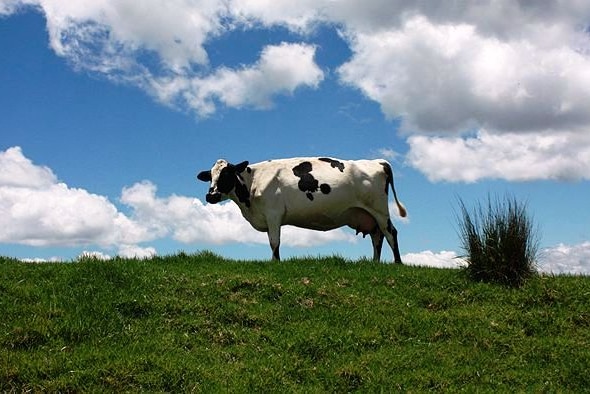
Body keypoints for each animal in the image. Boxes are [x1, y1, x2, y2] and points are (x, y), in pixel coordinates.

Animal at [197, 156, 410, 262]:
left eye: (226, 174)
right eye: (211, 176)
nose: (210, 196)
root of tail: (378, 161)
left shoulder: (273, 214)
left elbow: (274, 242)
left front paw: (275, 263)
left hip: (379, 210)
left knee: (391, 233)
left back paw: (397, 263)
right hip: (369, 215)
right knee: (377, 237)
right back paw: (375, 264)